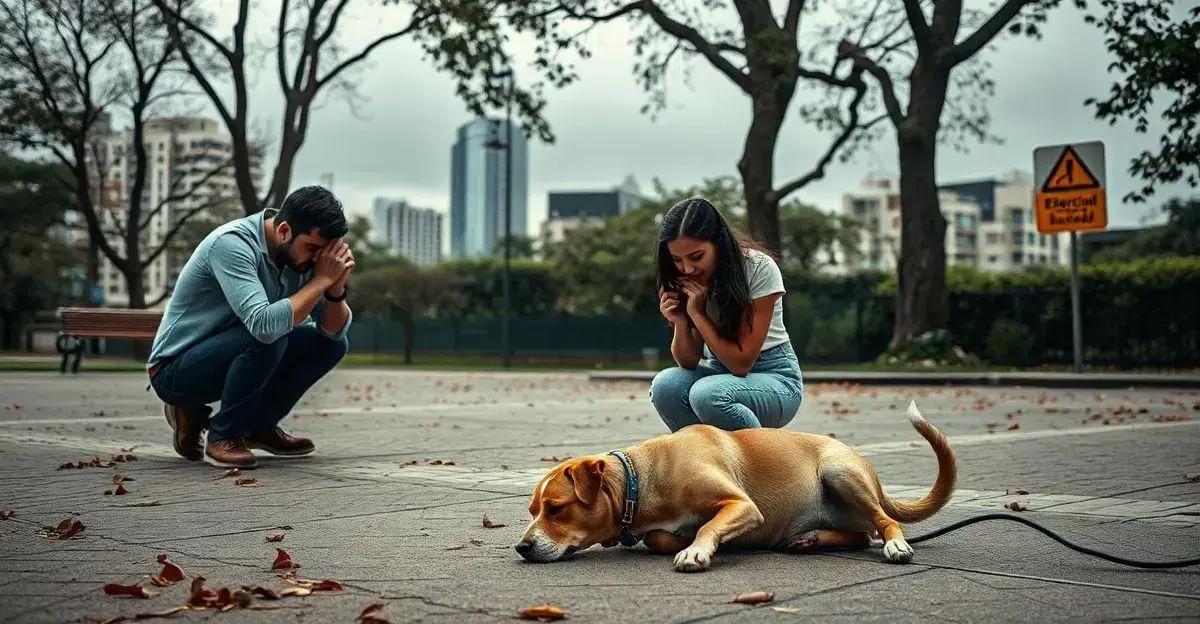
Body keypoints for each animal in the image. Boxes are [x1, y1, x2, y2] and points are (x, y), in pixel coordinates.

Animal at [516, 400, 955, 571]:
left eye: (556, 508)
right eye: (533, 510)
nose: (522, 546)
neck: (644, 478)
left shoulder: (741, 505)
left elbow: (709, 525)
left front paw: (695, 550)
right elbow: (659, 537)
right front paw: (680, 540)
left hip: (839, 471)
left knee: (883, 525)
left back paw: (896, 545)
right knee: (861, 535)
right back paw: (811, 539)